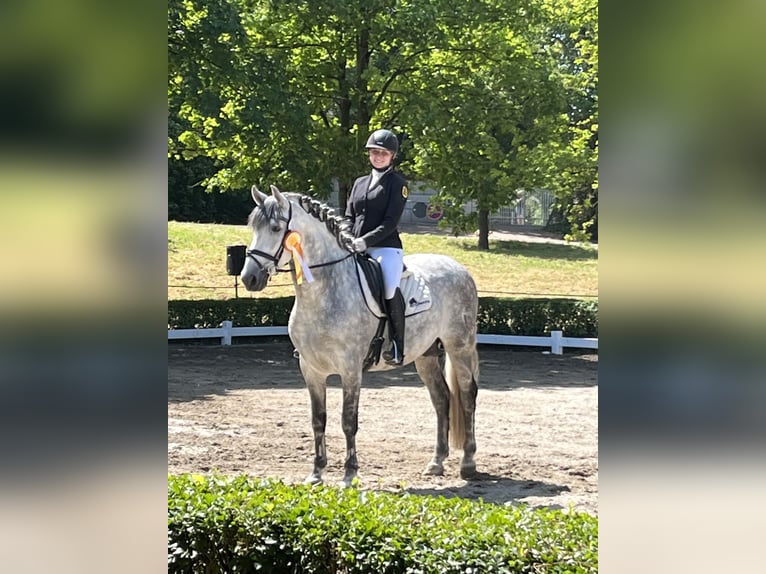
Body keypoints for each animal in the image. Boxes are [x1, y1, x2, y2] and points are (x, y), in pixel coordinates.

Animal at [240, 187, 480, 488]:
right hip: (425, 355)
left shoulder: (350, 369)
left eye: (275, 228)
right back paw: (436, 463)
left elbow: (348, 421)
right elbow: (318, 420)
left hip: (459, 346)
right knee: (442, 398)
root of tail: (459, 268)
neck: (324, 292)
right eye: (253, 227)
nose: (249, 278)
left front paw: (349, 474)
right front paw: (316, 473)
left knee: (468, 395)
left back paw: (468, 464)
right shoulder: (310, 369)